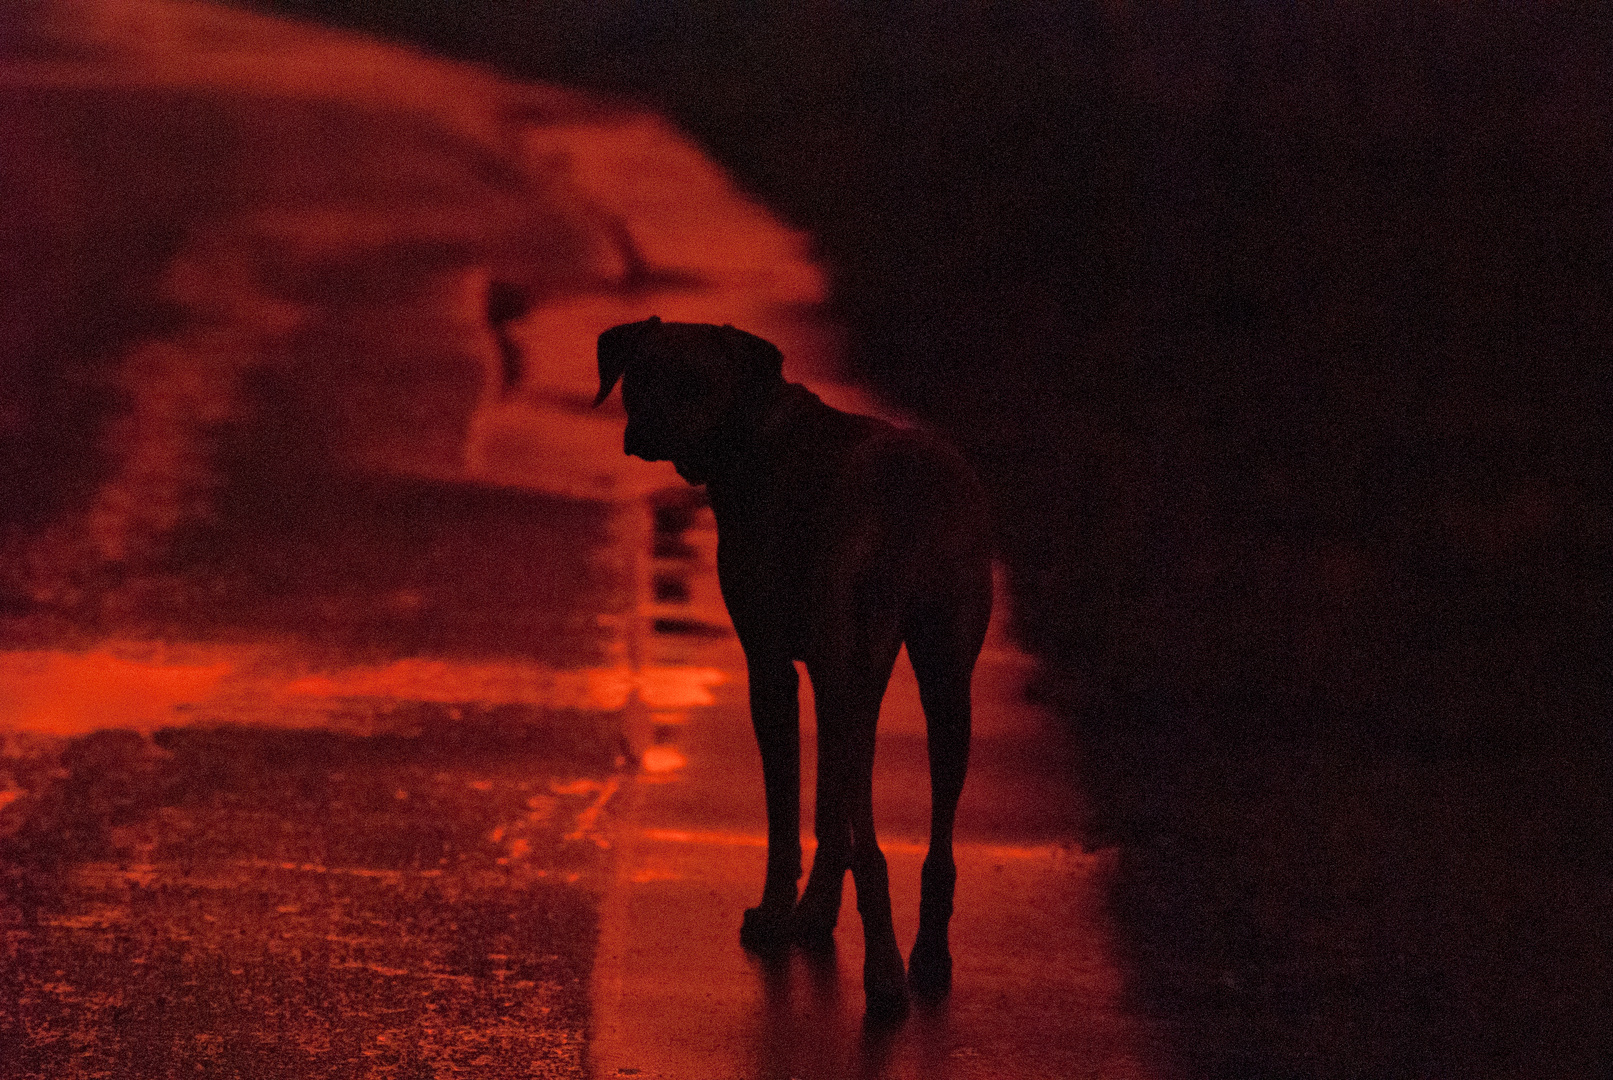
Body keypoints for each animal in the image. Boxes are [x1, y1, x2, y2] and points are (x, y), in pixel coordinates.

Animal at [596, 315, 993, 1025]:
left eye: (696, 382)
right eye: (641, 373)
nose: (645, 431)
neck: (757, 434)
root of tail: (912, 494)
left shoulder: (771, 666)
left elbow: (785, 814)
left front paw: (778, 914)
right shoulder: (850, 672)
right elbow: (829, 810)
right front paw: (812, 913)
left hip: (866, 664)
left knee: (871, 841)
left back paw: (885, 972)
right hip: (929, 680)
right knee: (919, 834)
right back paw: (918, 954)